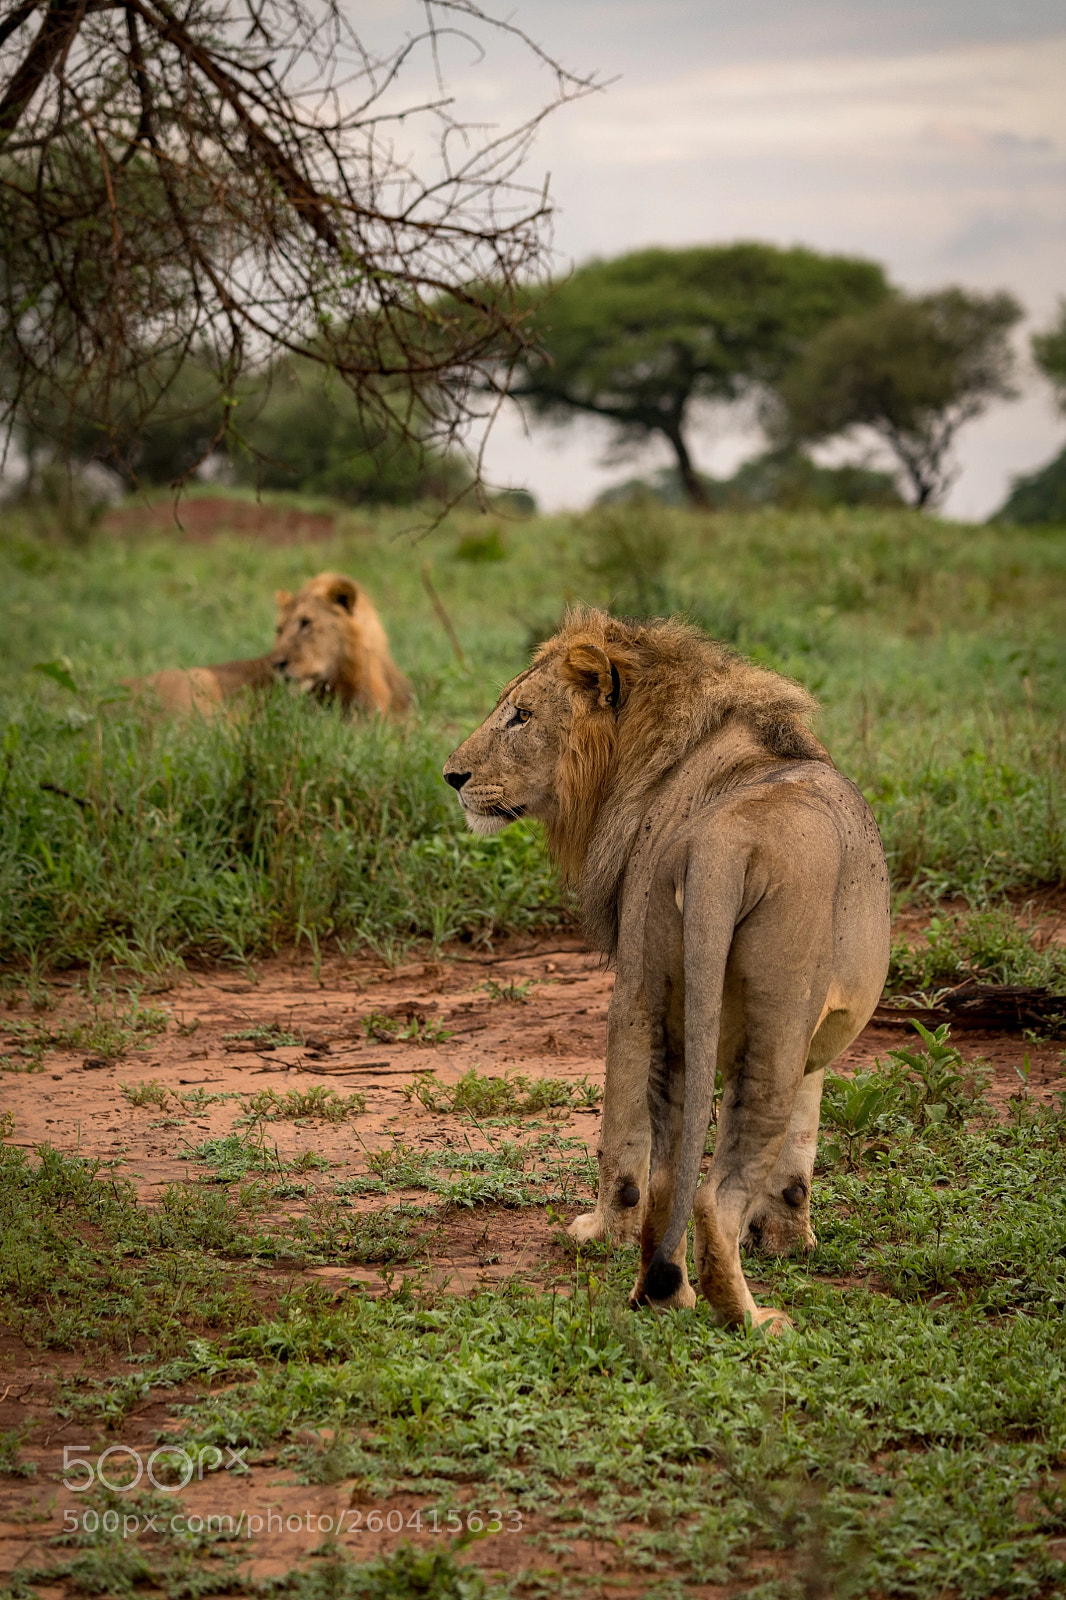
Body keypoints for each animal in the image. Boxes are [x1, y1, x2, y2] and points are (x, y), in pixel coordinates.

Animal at [443, 610, 889, 1330]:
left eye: (520, 715)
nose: (451, 777)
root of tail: (726, 843)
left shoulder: (646, 983)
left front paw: (784, 1236)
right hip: (759, 1020)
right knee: (703, 1188)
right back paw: (748, 1317)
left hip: (689, 1009)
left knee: (669, 1176)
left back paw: (668, 1292)